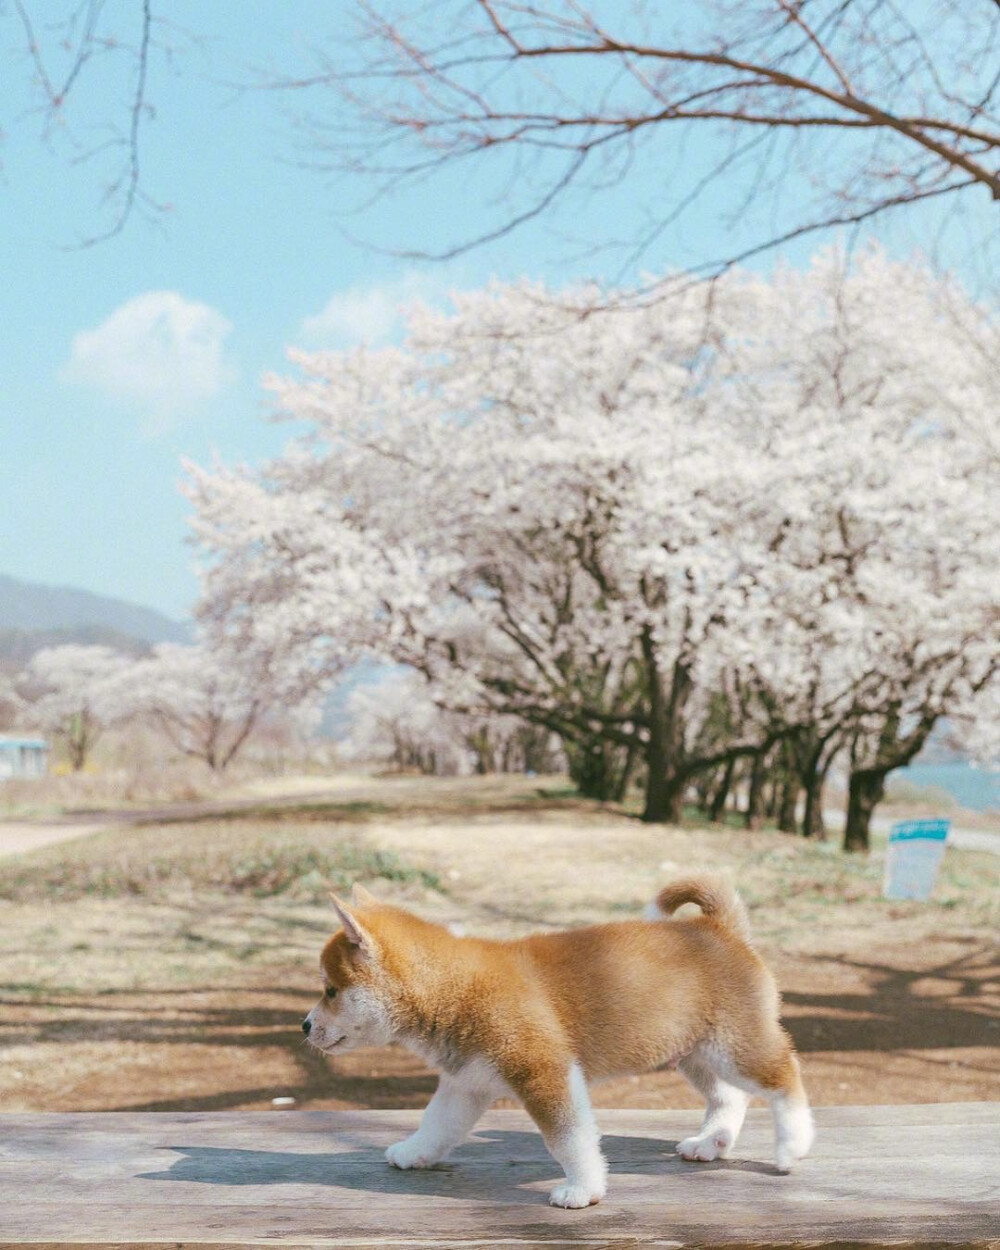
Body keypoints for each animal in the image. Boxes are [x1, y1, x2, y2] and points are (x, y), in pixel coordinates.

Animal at [302, 875, 810, 1205]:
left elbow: (570, 1140)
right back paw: (712, 1142)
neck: (455, 988)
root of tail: (719, 928)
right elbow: (436, 1124)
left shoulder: (544, 1073)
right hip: (696, 1054)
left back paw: (793, 1147)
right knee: (731, 1098)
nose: (305, 1026)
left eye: (330, 990)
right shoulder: (467, 1083)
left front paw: (584, 1189)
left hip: (735, 1048)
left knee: (786, 1079)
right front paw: (413, 1152)